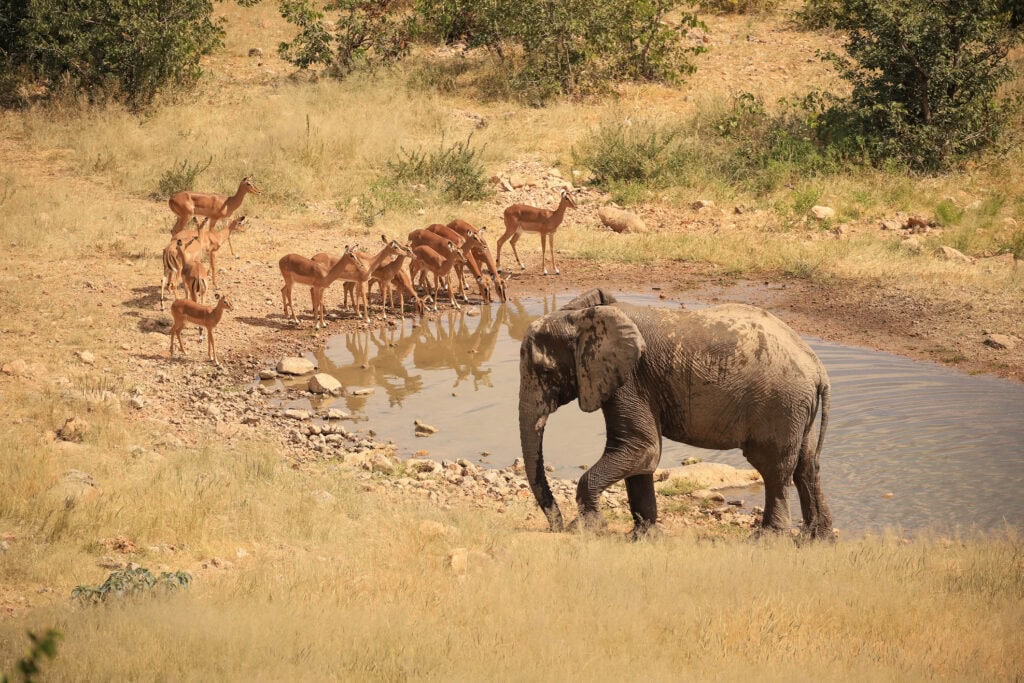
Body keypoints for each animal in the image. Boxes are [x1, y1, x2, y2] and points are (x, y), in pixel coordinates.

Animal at [518, 289, 833, 540]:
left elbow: (640, 447)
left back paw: (767, 540)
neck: (583, 317)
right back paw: (818, 540)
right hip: (796, 409)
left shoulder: (631, 379)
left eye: (545, 371)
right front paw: (644, 538)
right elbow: (641, 456)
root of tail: (818, 368)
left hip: (780, 404)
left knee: (774, 469)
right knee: (807, 466)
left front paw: (586, 529)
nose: (556, 526)